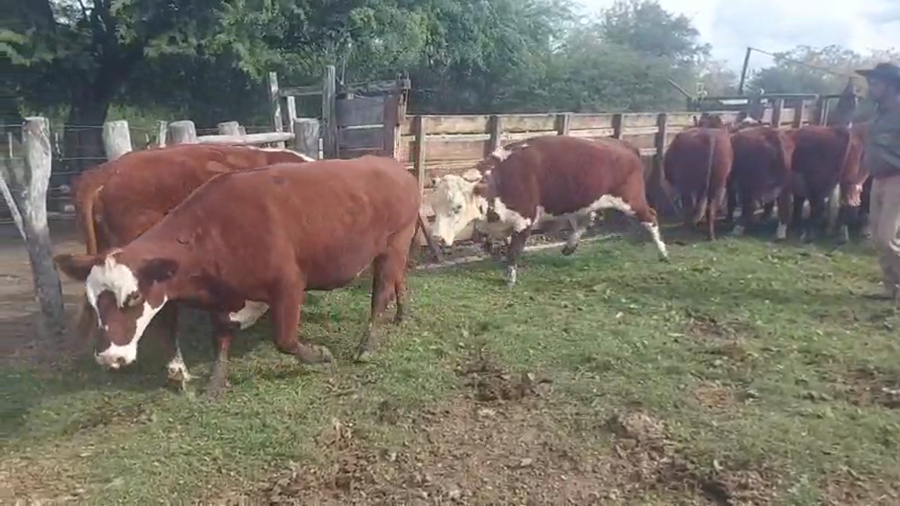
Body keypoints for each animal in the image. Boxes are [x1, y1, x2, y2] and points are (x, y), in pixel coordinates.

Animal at [428, 135, 669, 287]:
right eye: (434, 206)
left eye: (457, 207)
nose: (437, 237)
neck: (500, 182)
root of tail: (625, 146)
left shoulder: (525, 220)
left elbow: (514, 250)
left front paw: (510, 277)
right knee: (584, 221)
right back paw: (569, 247)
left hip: (632, 200)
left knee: (651, 217)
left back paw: (663, 253)